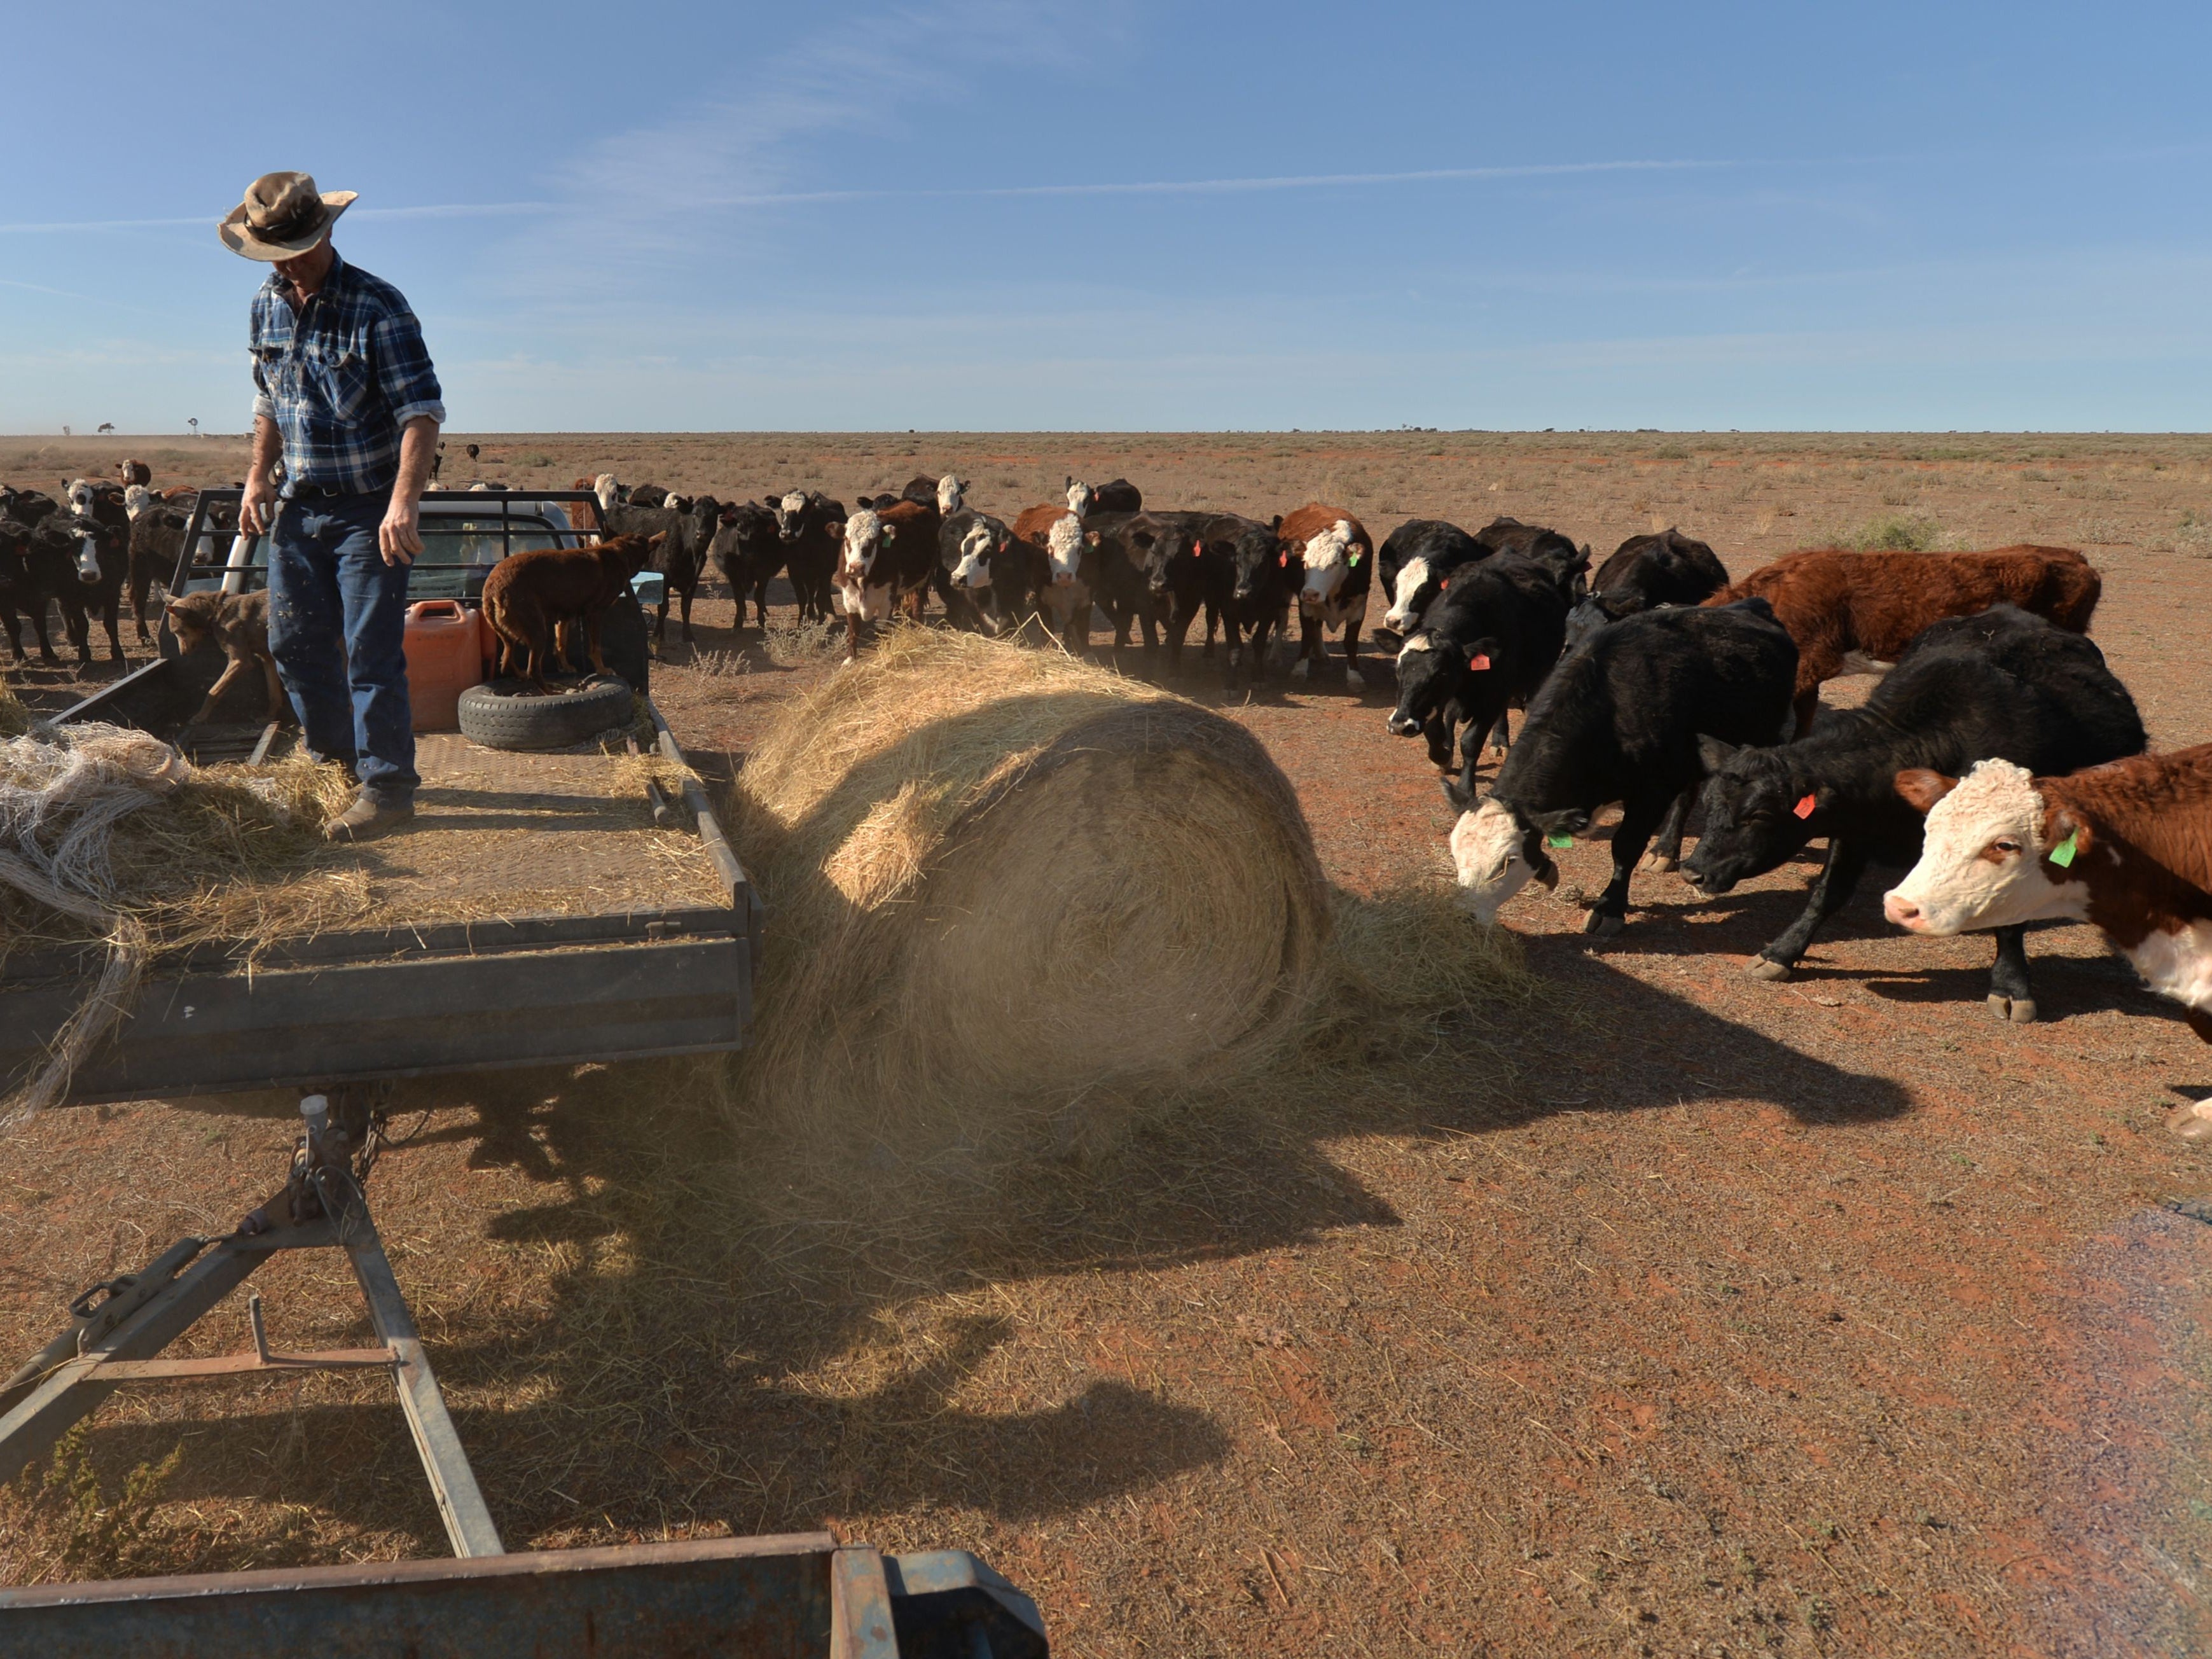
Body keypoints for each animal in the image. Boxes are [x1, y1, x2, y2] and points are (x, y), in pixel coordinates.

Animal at [1451, 597, 1796, 938]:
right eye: (1455, 854)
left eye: (1507, 862)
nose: (1463, 917)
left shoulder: (1653, 792)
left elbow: (1625, 847)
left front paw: (1610, 908)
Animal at [1672, 606, 2141, 1022]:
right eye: (1711, 804)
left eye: (1758, 816)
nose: (1693, 871)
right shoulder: (1854, 828)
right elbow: (1827, 894)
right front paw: (1782, 952)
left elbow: (2012, 925)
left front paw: (2011, 986)